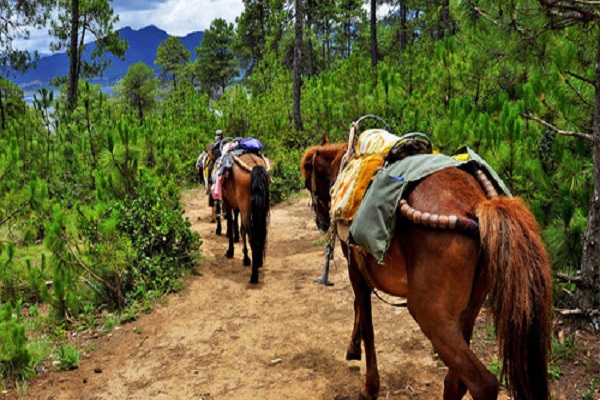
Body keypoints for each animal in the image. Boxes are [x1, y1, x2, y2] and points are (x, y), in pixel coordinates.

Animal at [220, 152, 270, 282]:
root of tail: (255, 167)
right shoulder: (238, 207)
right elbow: (241, 229)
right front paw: (246, 256)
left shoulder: (228, 203)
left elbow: (231, 226)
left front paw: (231, 252)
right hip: (261, 209)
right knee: (261, 232)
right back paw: (258, 261)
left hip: (245, 207)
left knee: (252, 236)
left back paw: (254, 275)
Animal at [302, 141, 552, 400]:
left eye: (307, 183)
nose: (321, 222)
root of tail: (476, 204)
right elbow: (358, 310)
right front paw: (354, 349)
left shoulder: (356, 271)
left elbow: (365, 320)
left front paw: (368, 385)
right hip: (467, 311)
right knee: (455, 382)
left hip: (430, 315)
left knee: (483, 384)